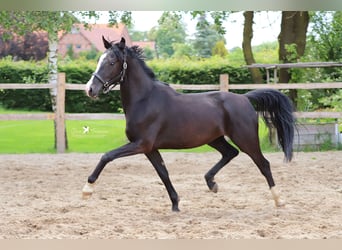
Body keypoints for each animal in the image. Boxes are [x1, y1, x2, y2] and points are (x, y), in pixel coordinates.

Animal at [82, 36, 294, 211]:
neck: (145, 100)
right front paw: (175, 204)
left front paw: (87, 190)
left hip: (246, 138)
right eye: (99, 60)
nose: (90, 89)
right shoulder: (150, 148)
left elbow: (107, 156)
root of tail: (245, 98)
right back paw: (211, 183)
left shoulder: (141, 144)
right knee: (230, 153)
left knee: (263, 164)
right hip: (215, 138)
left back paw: (279, 200)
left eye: (111, 62)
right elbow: (163, 173)